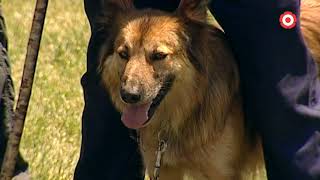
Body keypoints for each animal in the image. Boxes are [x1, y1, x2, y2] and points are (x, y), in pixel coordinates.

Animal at [99, 0, 318, 179]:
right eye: (123, 54)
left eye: (159, 55)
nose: (129, 96)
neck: (185, 113)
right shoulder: (163, 166)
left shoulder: (221, 171)